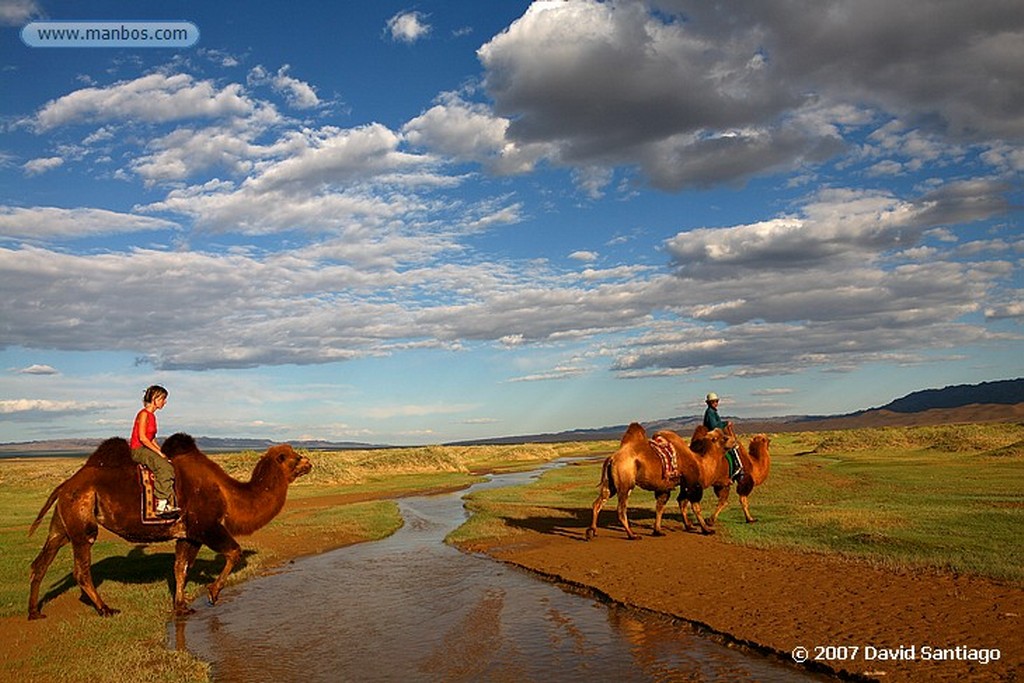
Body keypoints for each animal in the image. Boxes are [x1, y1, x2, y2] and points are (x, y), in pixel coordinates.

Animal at [29, 436, 311, 622]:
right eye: (295, 458)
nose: (309, 462)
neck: (227, 494)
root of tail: (65, 485)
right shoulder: (204, 526)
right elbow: (233, 552)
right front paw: (212, 593)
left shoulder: (188, 535)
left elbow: (180, 568)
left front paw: (181, 607)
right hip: (82, 520)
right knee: (81, 569)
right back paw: (106, 609)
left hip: (62, 523)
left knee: (41, 562)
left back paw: (34, 611)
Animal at [585, 419, 737, 540]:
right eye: (724, 438)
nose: (734, 441)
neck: (701, 463)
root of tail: (611, 458)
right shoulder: (693, 484)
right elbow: (695, 507)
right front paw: (706, 529)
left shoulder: (667, 486)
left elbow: (662, 506)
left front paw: (659, 530)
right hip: (625, 482)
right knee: (621, 509)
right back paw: (632, 535)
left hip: (611, 483)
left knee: (598, 502)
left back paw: (592, 532)